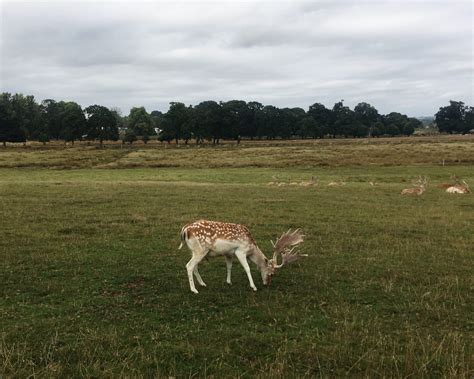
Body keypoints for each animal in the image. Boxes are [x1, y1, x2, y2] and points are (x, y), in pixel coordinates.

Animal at [179, 220, 308, 296]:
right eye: (272, 273)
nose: (267, 284)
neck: (251, 249)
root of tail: (185, 230)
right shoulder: (240, 251)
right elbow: (247, 268)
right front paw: (253, 287)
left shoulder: (229, 253)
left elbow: (229, 266)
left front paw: (229, 281)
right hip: (200, 250)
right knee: (189, 265)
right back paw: (194, 290)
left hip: (195, 251)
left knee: (194, 267)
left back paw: (202, 283)